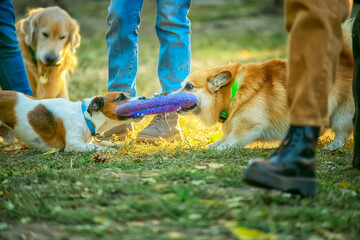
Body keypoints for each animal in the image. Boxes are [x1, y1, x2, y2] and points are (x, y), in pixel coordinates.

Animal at [0, 91, 143, 151]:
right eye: (120, 98)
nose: (143, 97)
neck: (85, 117)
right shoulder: (74, 144)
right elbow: (96, 146)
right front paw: (109, 151)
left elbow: (104, 143)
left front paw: (117, 145)